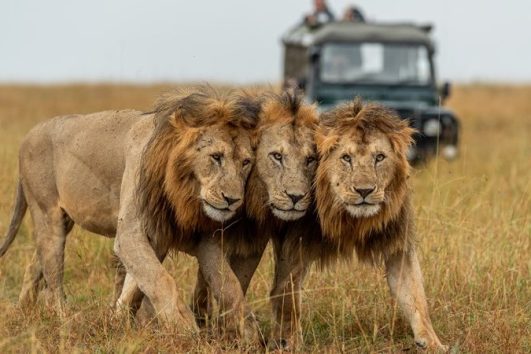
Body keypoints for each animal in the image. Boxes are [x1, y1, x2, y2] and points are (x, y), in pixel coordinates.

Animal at [0, 86, 258, 334]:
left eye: (246, 163)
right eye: (216, 157)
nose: (233, 200)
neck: (183, 192)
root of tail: (28, 135)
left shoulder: (169, 236)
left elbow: (139, 286)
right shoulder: (130, 234)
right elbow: (160, 279)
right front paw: (184, 327)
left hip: (62, 222)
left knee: (35, 264)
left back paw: (22, 311)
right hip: (47, 213)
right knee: (53, 278)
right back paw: (63, 320)